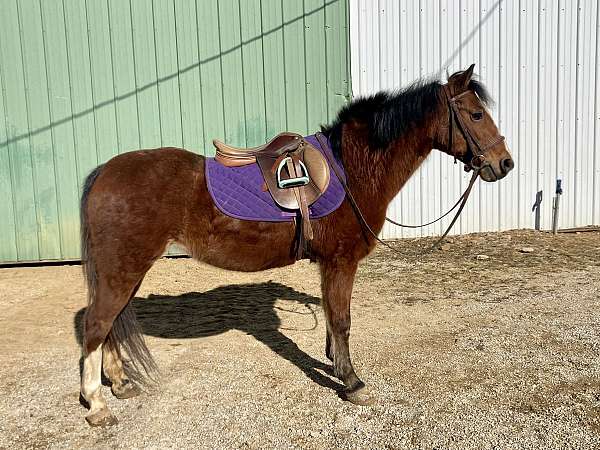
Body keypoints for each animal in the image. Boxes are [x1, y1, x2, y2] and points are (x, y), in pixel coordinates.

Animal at [77, 64, 512, 426]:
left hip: (125, 272)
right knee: (97, 325)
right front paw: (352, 383)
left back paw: (120, 385)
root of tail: (105, 172)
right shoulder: (341, 261)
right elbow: (342, 319)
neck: (351, 168)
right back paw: (97, 406)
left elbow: (334, 318)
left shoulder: (328, 264)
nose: (504, 163)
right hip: (124, 269)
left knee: (110, 323)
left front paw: (335, 363)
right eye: (476, 114)